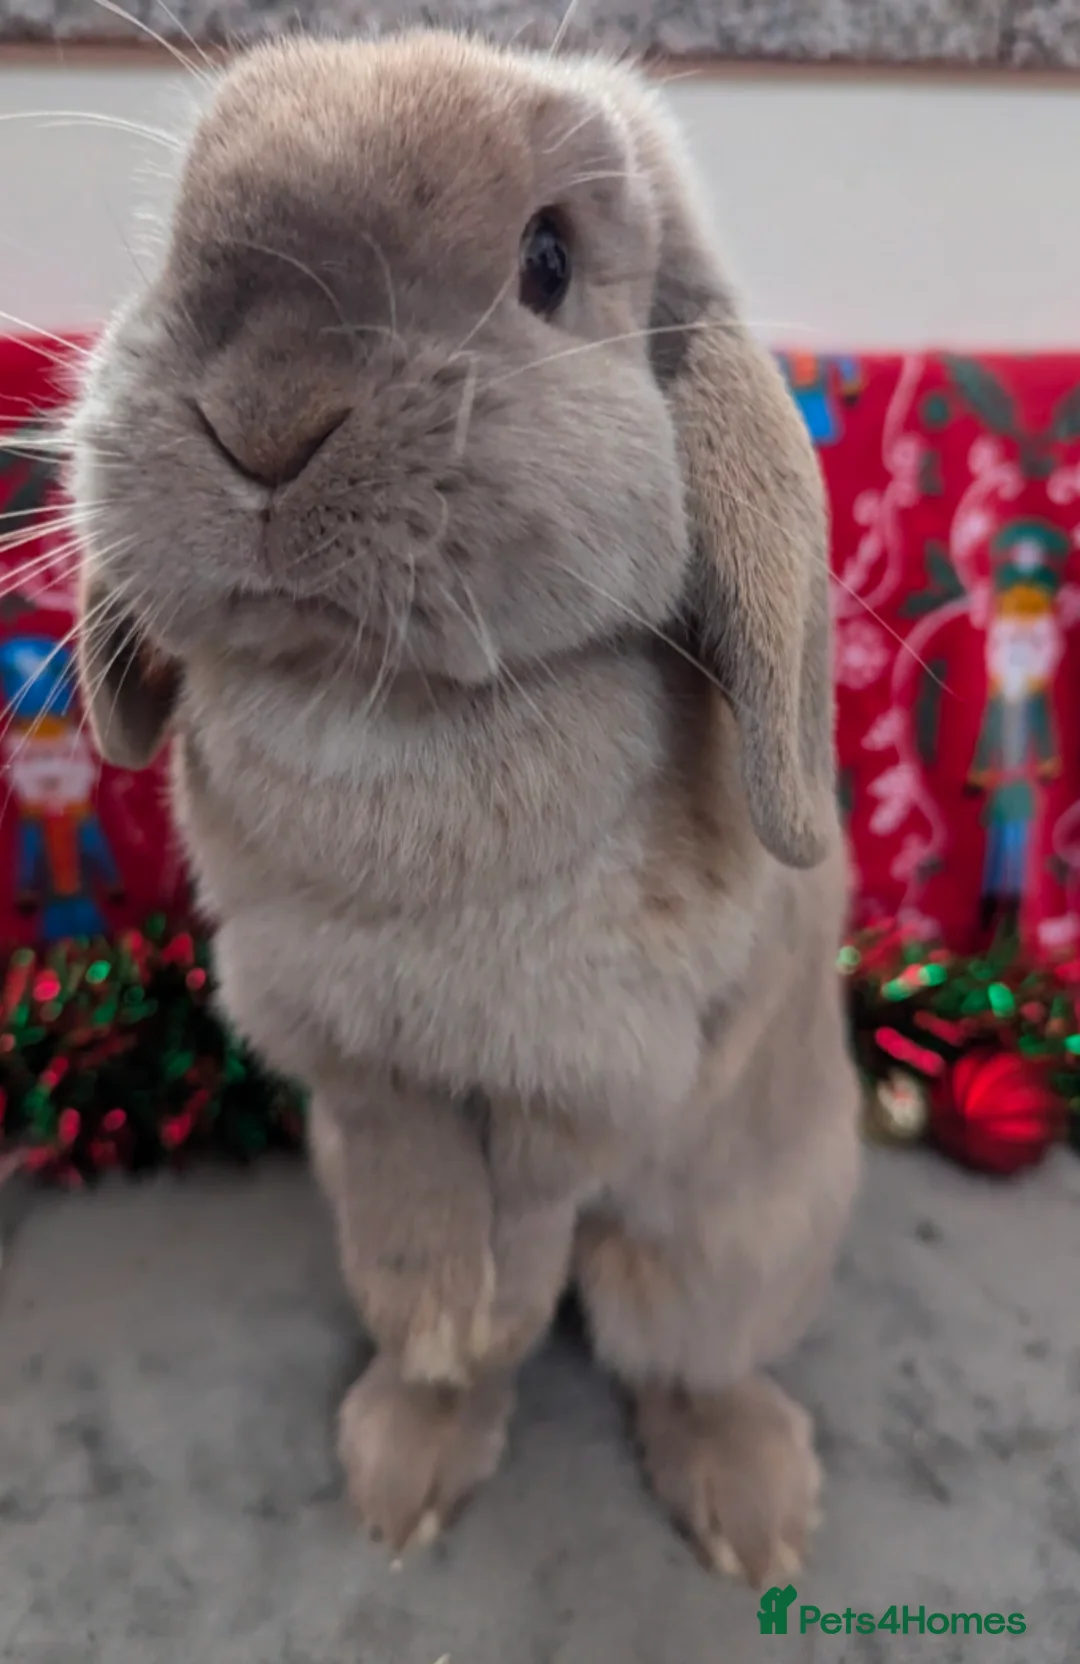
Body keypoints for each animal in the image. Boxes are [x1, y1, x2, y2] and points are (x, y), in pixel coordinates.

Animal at [67, 29, 861, 1587]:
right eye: (183, 228)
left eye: (547, 263)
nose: (265, 414)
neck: (387, 706)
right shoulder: (352, 1063)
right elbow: (422, 1205)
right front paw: (449, 1334)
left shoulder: (593, 1064)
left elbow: (535, 1210)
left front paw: (489, 1314)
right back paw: (404, 1464)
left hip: (739, 1234)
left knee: (682, 1343)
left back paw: (752, 1515)